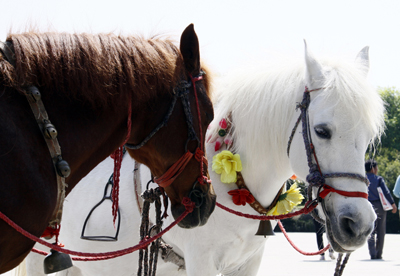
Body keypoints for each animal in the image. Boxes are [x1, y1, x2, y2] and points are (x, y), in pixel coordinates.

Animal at [21, 41, 384, 276]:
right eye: (322, 131)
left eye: (368, 137)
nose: (359, 225)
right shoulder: (201, 261)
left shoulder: (248, 264)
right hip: (40, 256)